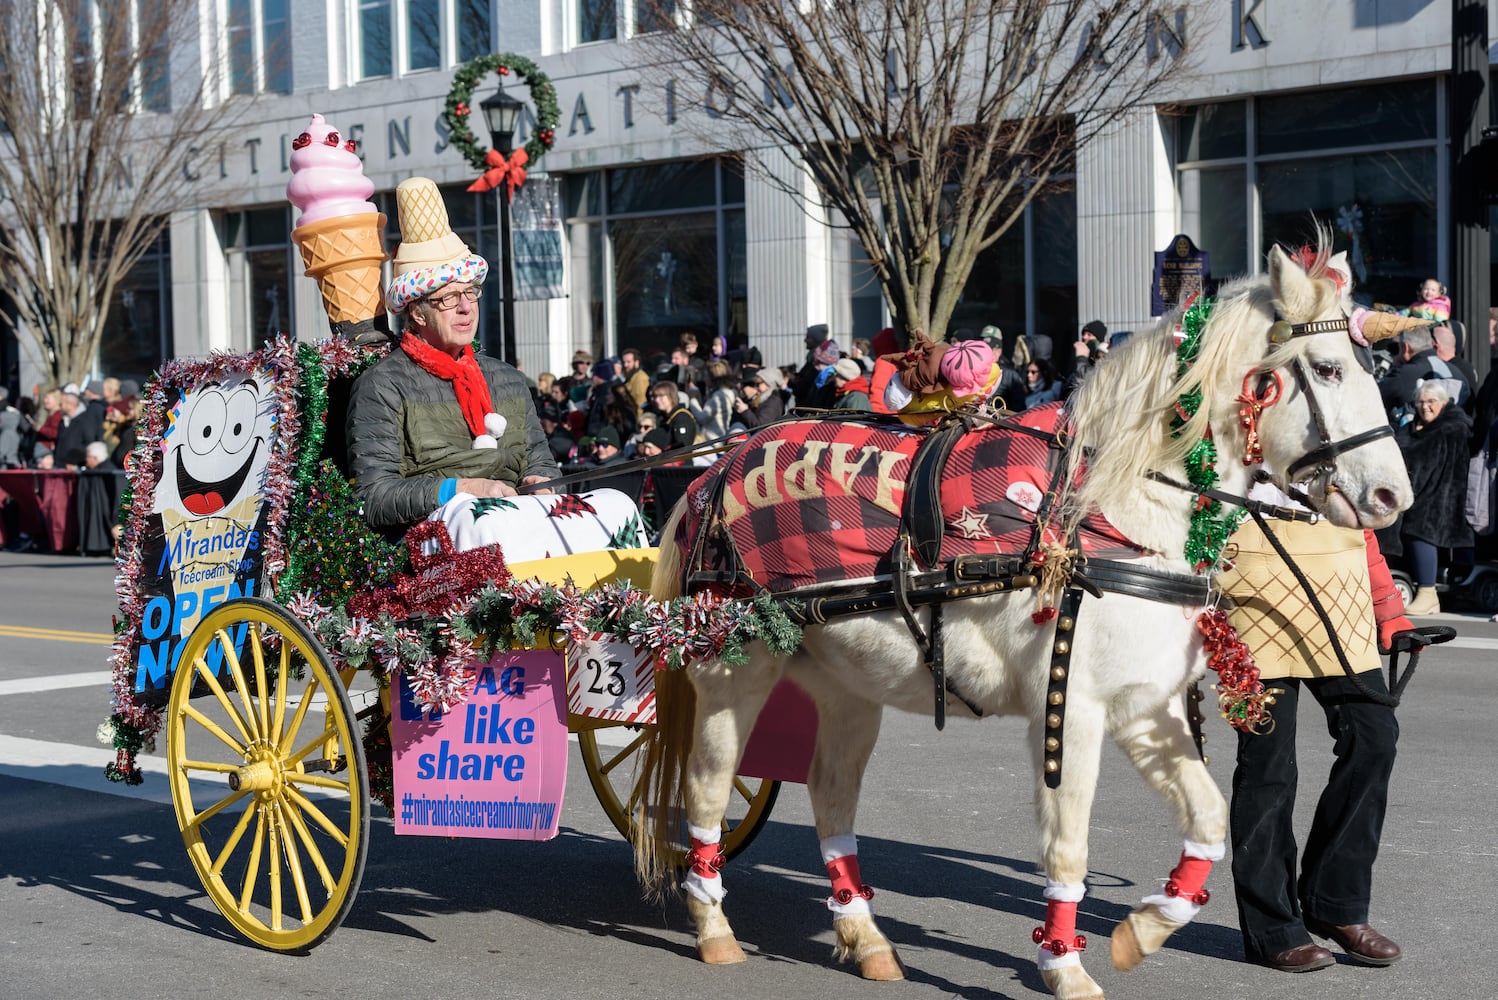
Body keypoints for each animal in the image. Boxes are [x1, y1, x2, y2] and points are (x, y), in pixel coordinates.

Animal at [638, 238, 1408, 994]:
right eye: (1329, 369)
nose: (1392, 498)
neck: (1115, 509)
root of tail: (714, 472)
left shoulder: (1144, 708)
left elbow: (1211, 820)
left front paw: (1143, 929)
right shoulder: (1071, 706)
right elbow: (1067, 845)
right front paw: (1064, 963)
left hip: (847, 685)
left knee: (830, 797)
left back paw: (865, 937)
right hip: (734, 669)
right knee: (706, 791)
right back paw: (714, 926)